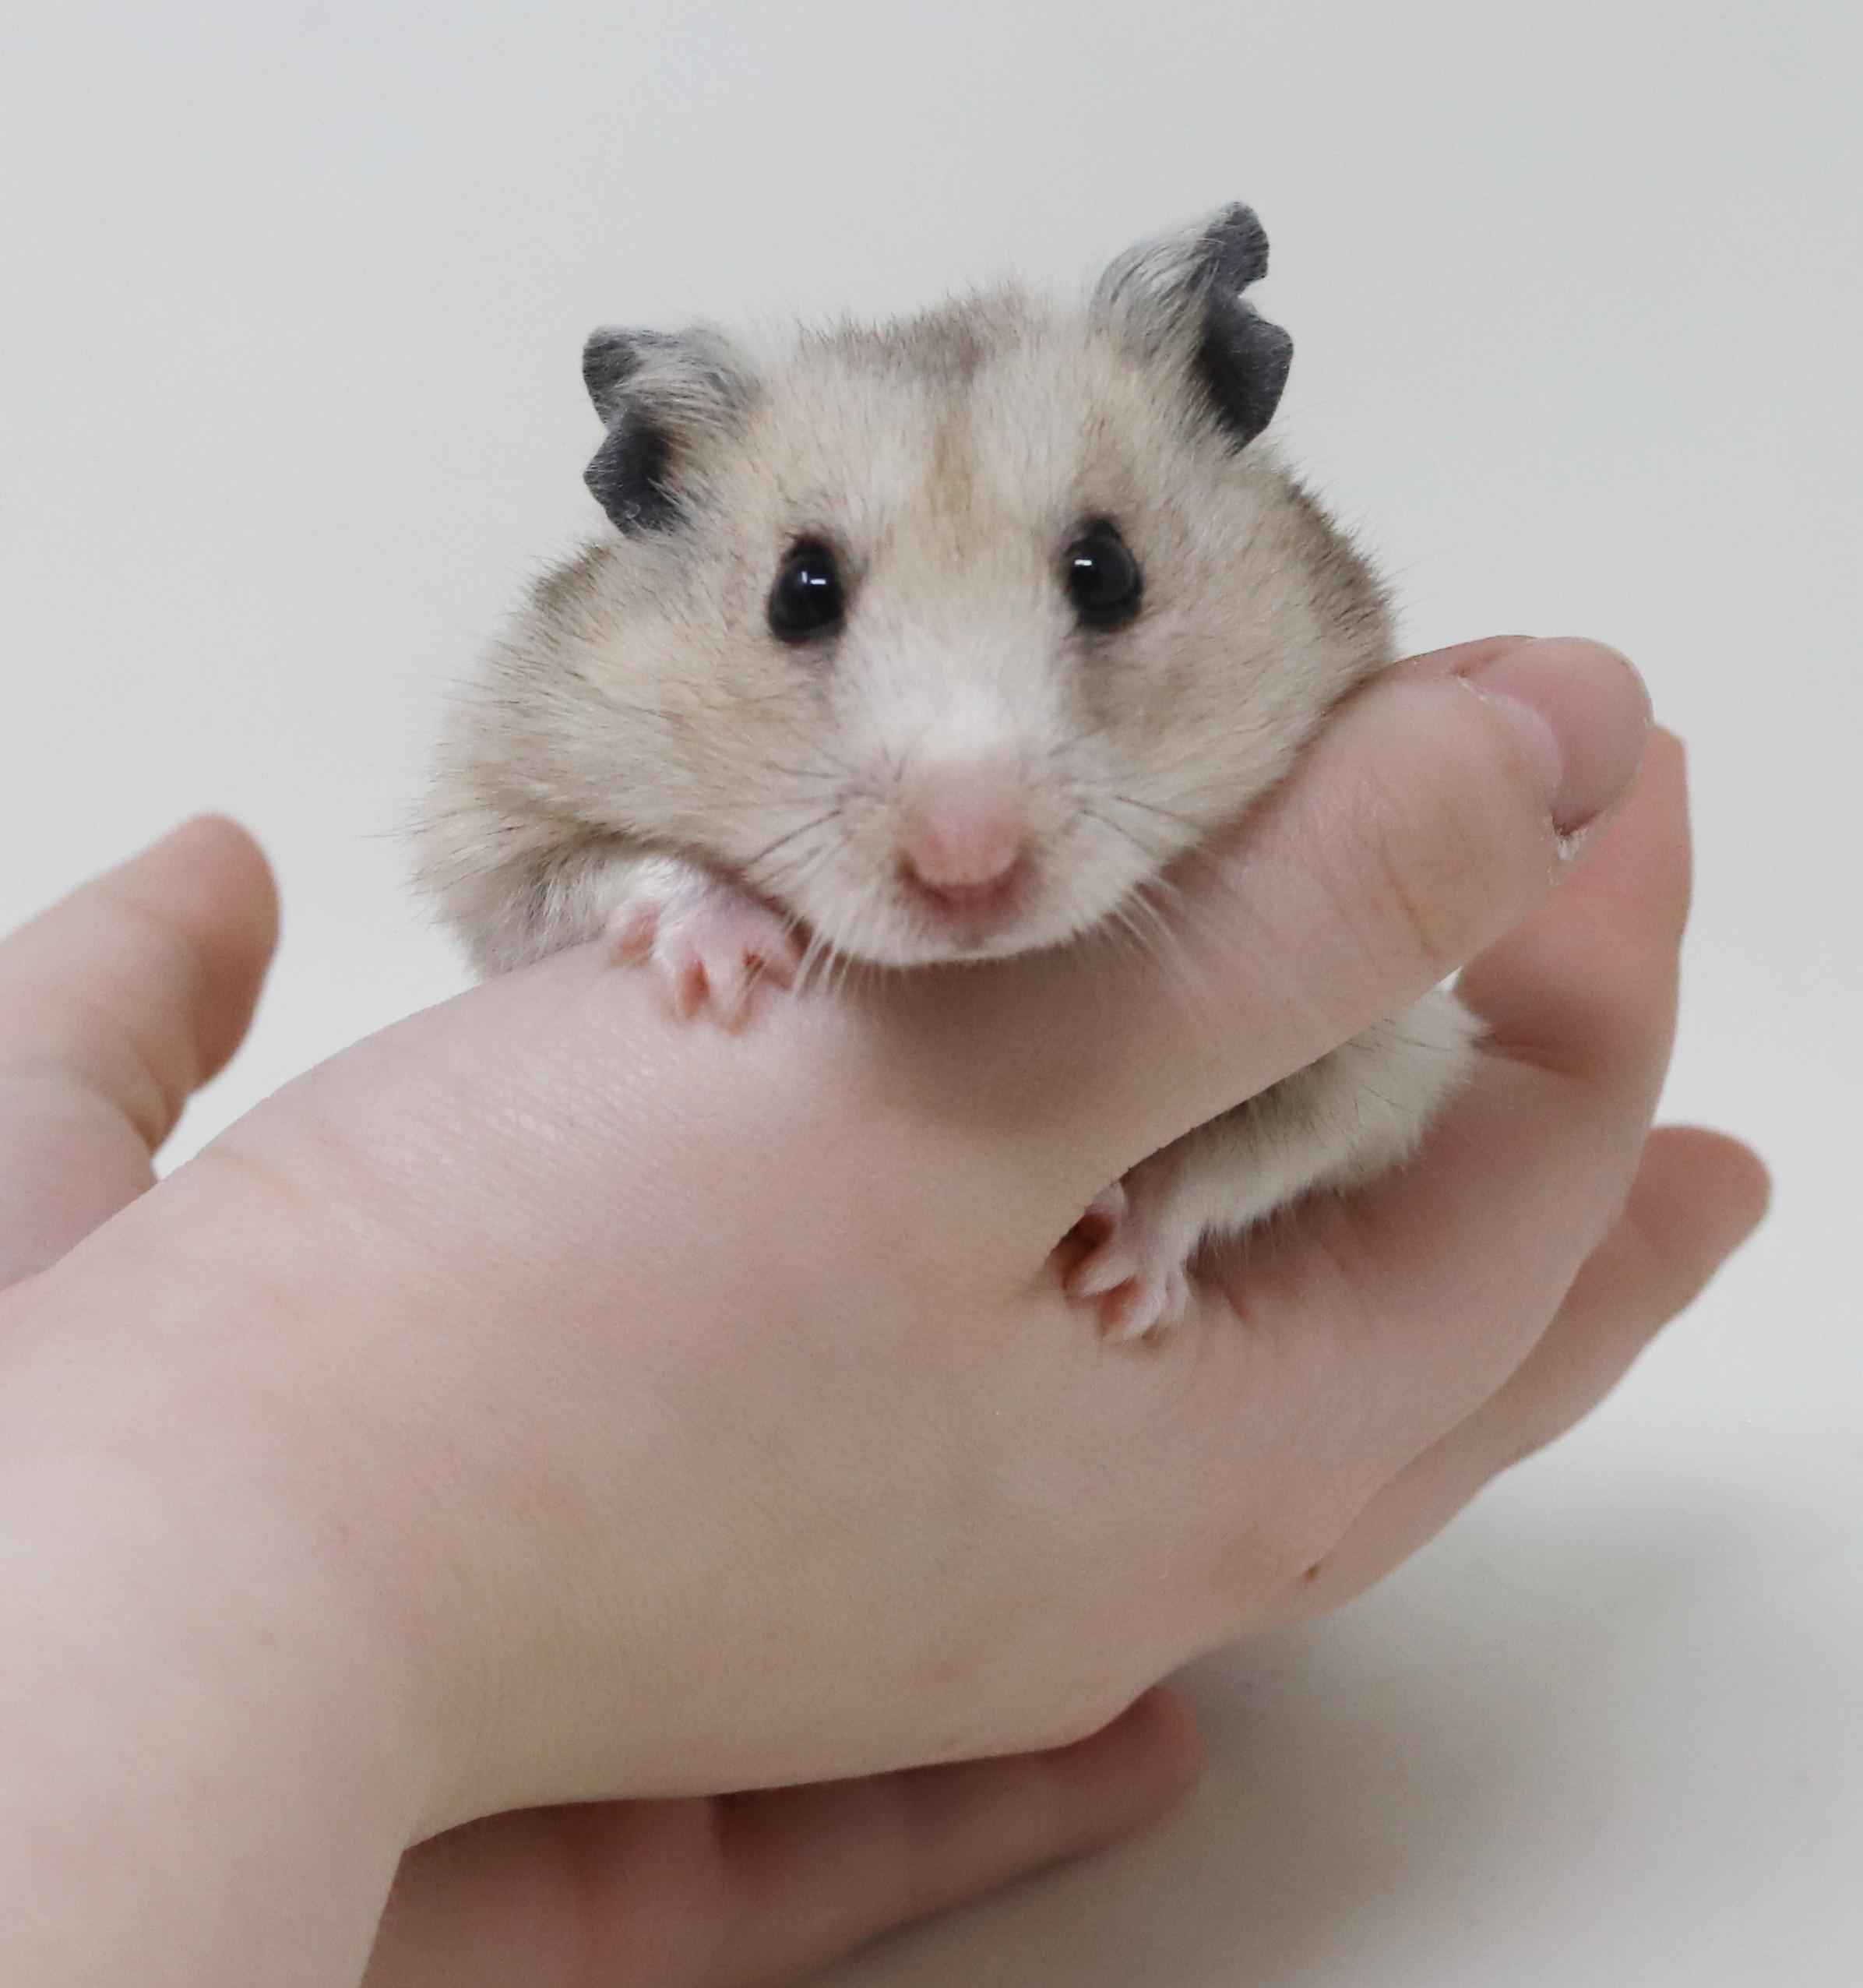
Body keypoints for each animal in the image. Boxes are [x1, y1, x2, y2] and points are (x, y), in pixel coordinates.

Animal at [415, 202, 1480, 1340]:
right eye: (800, 591)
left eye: (1109, 571)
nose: (966, 867)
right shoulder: (489, 815)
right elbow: (604, 869)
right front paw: (730, 962)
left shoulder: (1386, 1050)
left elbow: (1250, 1153)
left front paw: (1119, 1287)